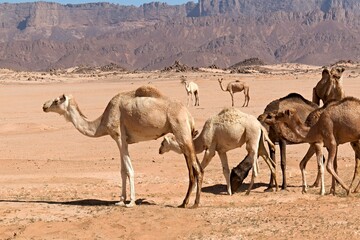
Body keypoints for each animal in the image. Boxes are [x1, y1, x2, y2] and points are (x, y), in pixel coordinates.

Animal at [42, 86, 202, 208]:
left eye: (56, 100)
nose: (44, 106)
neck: (101, 123)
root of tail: (189, 115)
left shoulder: (119, 137)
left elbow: (129, 170)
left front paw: (131, 202)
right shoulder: (121, 141)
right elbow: (122, 171)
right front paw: (120, 200)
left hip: (181, 131)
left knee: (197, 169)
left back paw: (193, 204)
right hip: (185, 135)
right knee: (194, 167)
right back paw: (185, 203)